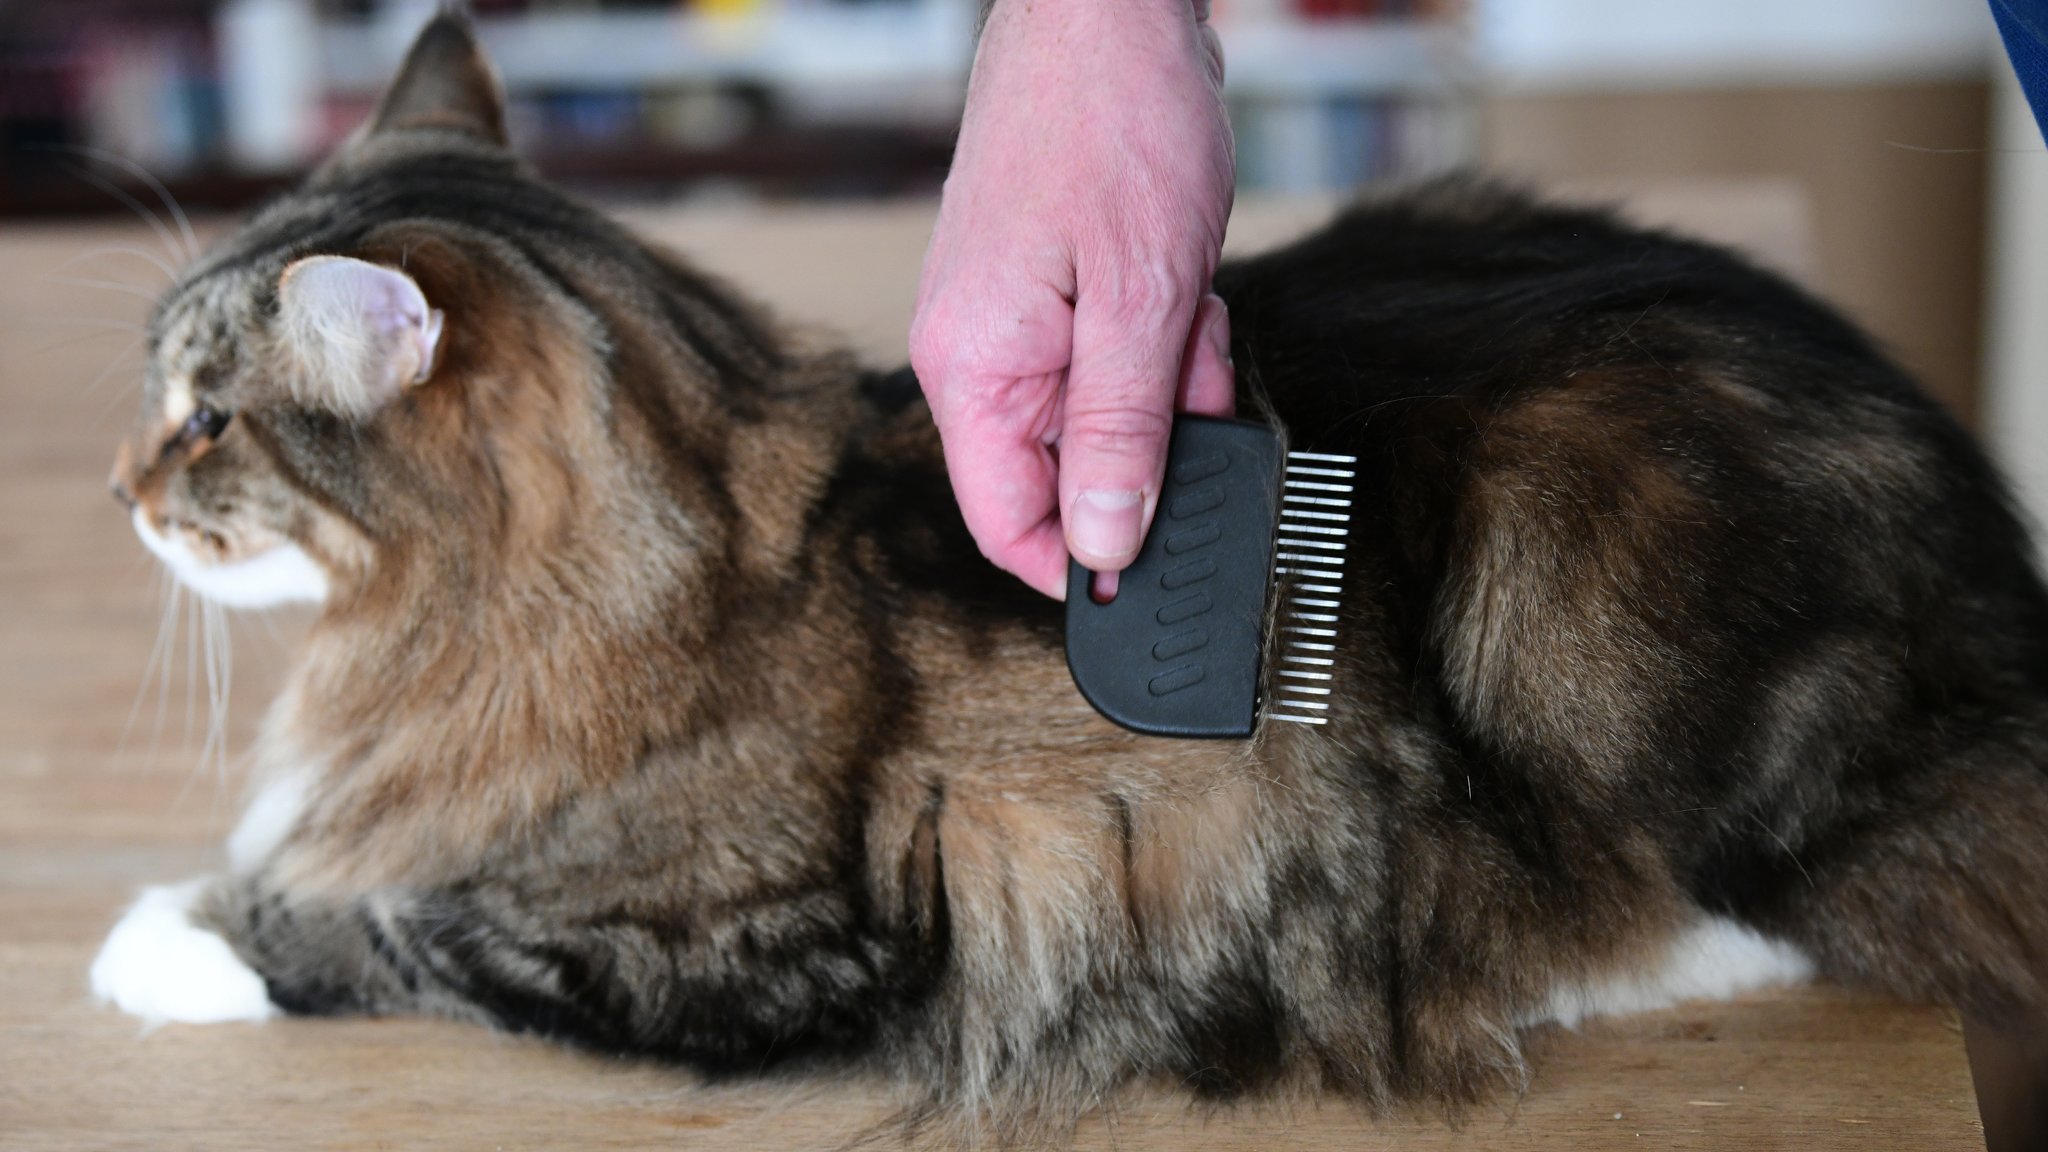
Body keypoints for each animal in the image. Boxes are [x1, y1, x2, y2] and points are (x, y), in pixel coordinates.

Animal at [92, 11, 2048, 1139]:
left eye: (206, 417)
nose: (119, 482)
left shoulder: (725, 944)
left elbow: (373, 920)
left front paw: (157, 942)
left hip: (1570, 593)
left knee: (1786, 904)